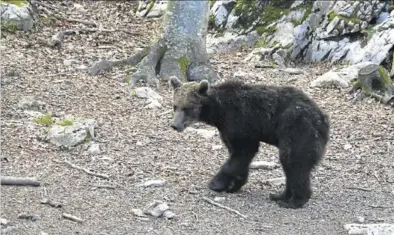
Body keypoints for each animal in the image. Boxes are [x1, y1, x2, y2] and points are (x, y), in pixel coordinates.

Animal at [169, 75, 330, 209]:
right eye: (175, 106)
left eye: (187, 108)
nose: (175, 125)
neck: (218, 112)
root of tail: (323, 119)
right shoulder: (228, 130)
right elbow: (237, 155)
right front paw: (234, 184)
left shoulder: (240, 121)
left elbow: (243, 151)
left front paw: (216, 183)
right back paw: (280, 195)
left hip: (297, 129)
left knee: (293, 162)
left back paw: (294, 200)